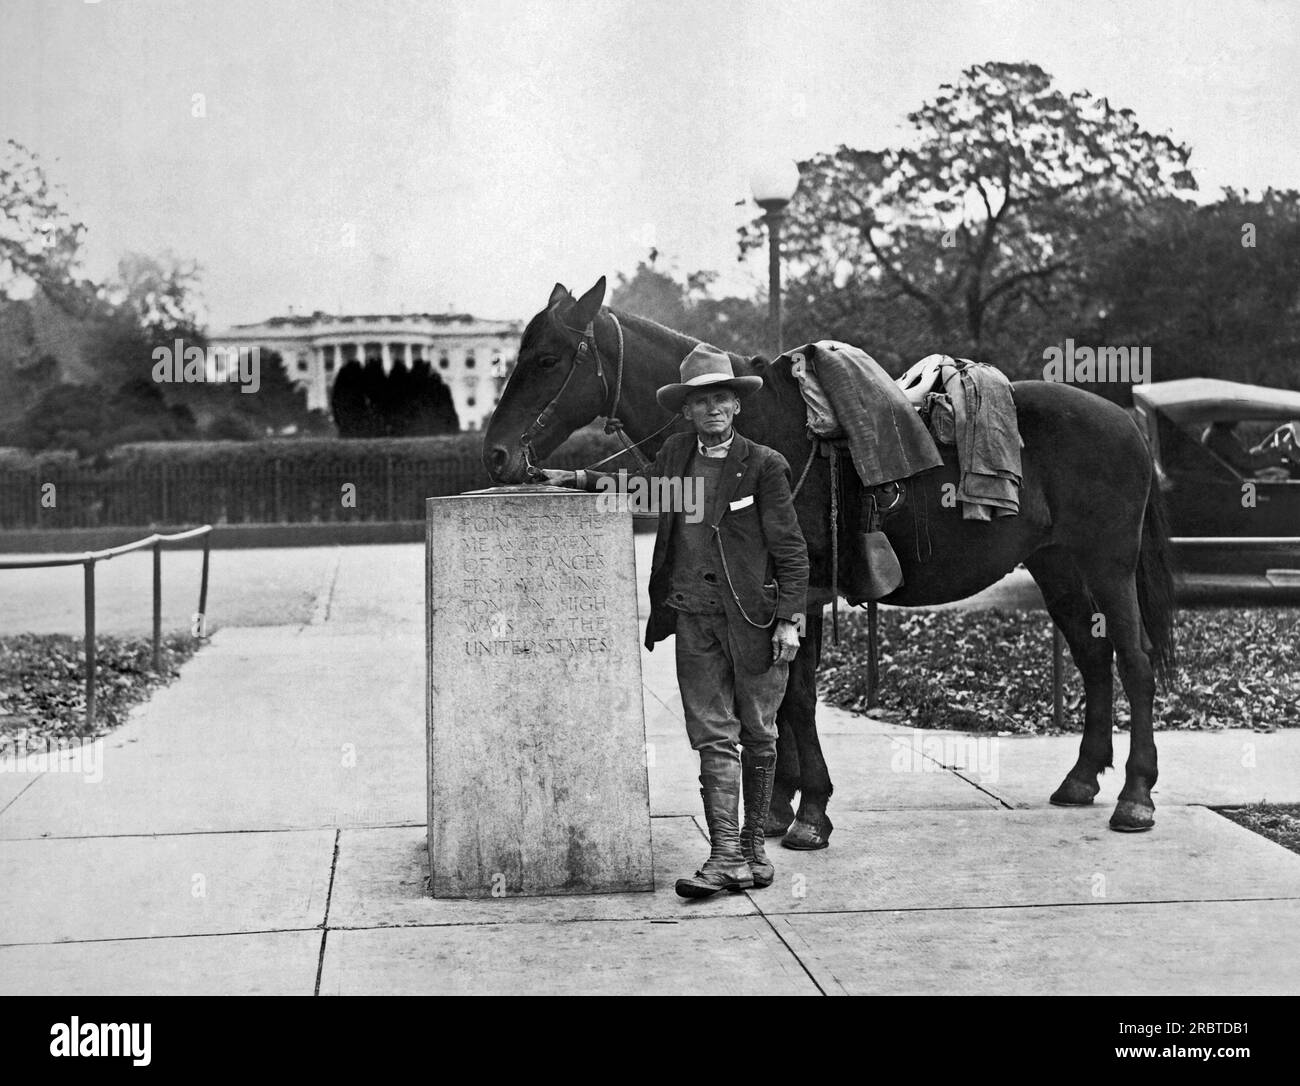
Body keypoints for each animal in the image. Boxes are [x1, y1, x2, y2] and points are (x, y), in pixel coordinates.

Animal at [483, 278, 1175, 842]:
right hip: (1058, 567)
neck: (763, 428)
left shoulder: (805, 588)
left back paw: (1136, 796)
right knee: (1095, 660)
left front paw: (809, 810)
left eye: (547, 359)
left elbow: (795, 697)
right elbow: (778, 693)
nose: (495, 454)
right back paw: (1082, 779)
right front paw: (780, 803)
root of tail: (1124, 422)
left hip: (1108, 565)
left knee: (1135, 661)